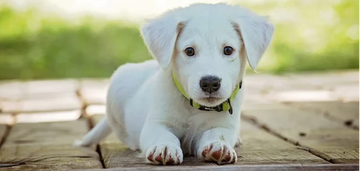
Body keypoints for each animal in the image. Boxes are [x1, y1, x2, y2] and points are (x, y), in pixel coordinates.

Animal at [76, 2, 272, 166]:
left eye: (228, 50)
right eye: (189, 51)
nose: (210, 83)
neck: (193, 107)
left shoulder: (224, 126)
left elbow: (217, 133)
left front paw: (219, 146)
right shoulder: (156, 123)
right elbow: (164, 135)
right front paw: (164, 148)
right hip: (117, 87)